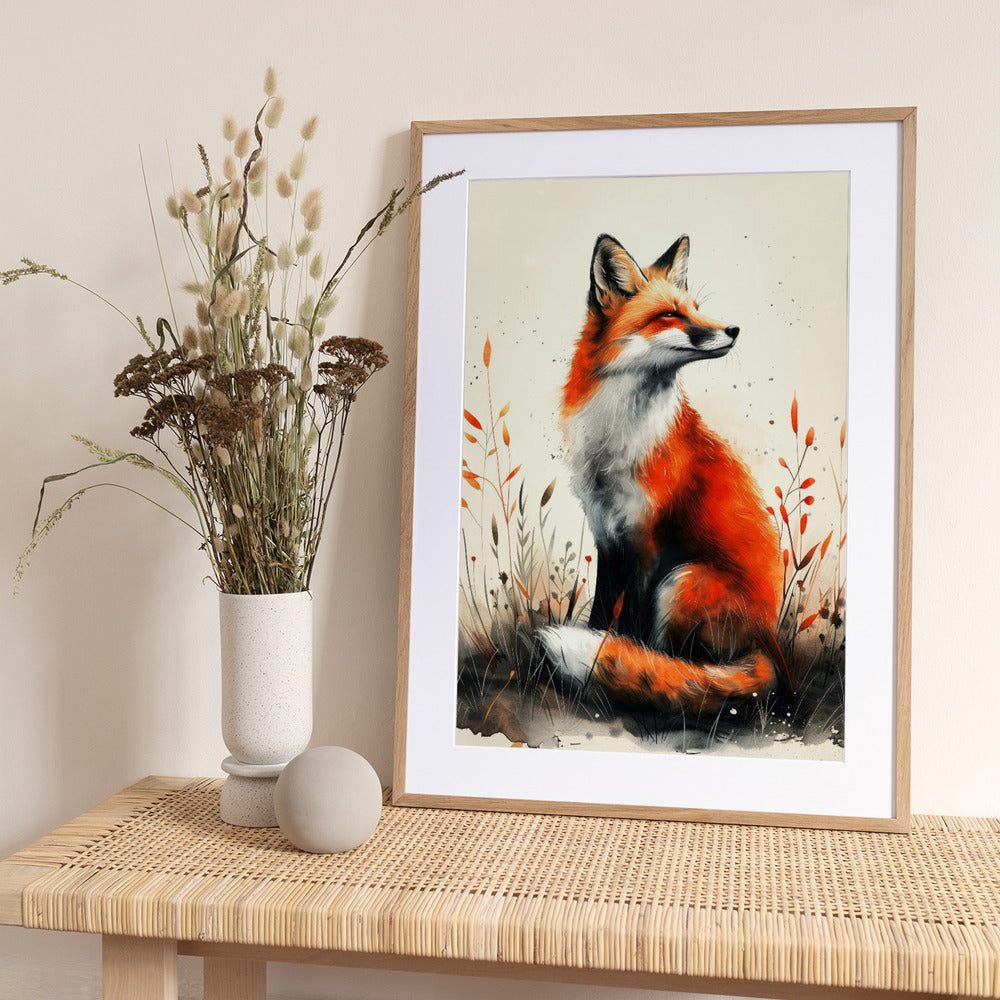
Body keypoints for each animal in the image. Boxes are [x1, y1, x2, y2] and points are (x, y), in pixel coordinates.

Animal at [539, 233, 783, 716]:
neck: (618, 437)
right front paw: (598, 652)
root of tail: (768, 646)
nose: (734, 330)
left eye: (696, 308)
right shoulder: (607, 533)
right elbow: (602, 613)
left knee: (693, 664)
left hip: (682, 581)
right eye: (670, 314)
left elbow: (630, 626)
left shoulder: (647, 541)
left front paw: (612, 663)